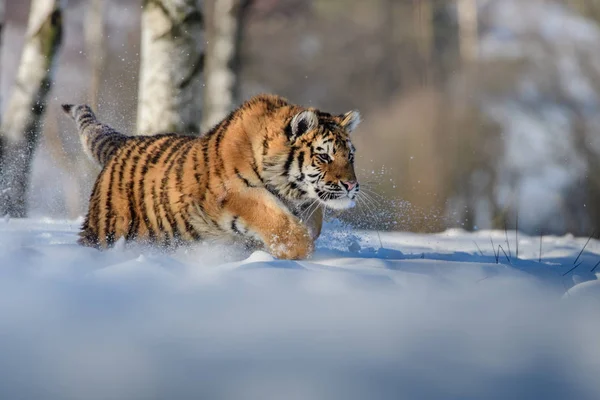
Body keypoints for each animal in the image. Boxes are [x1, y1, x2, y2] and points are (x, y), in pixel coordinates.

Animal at [61, 95, 360, 260]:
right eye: (324, 156)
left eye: (350, 156)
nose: (351, 185)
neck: (290, 189)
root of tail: (124, 142)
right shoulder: (234, 193)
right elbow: (276, 219)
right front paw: (296, 251)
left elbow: (312, 218)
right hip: (108, 230)